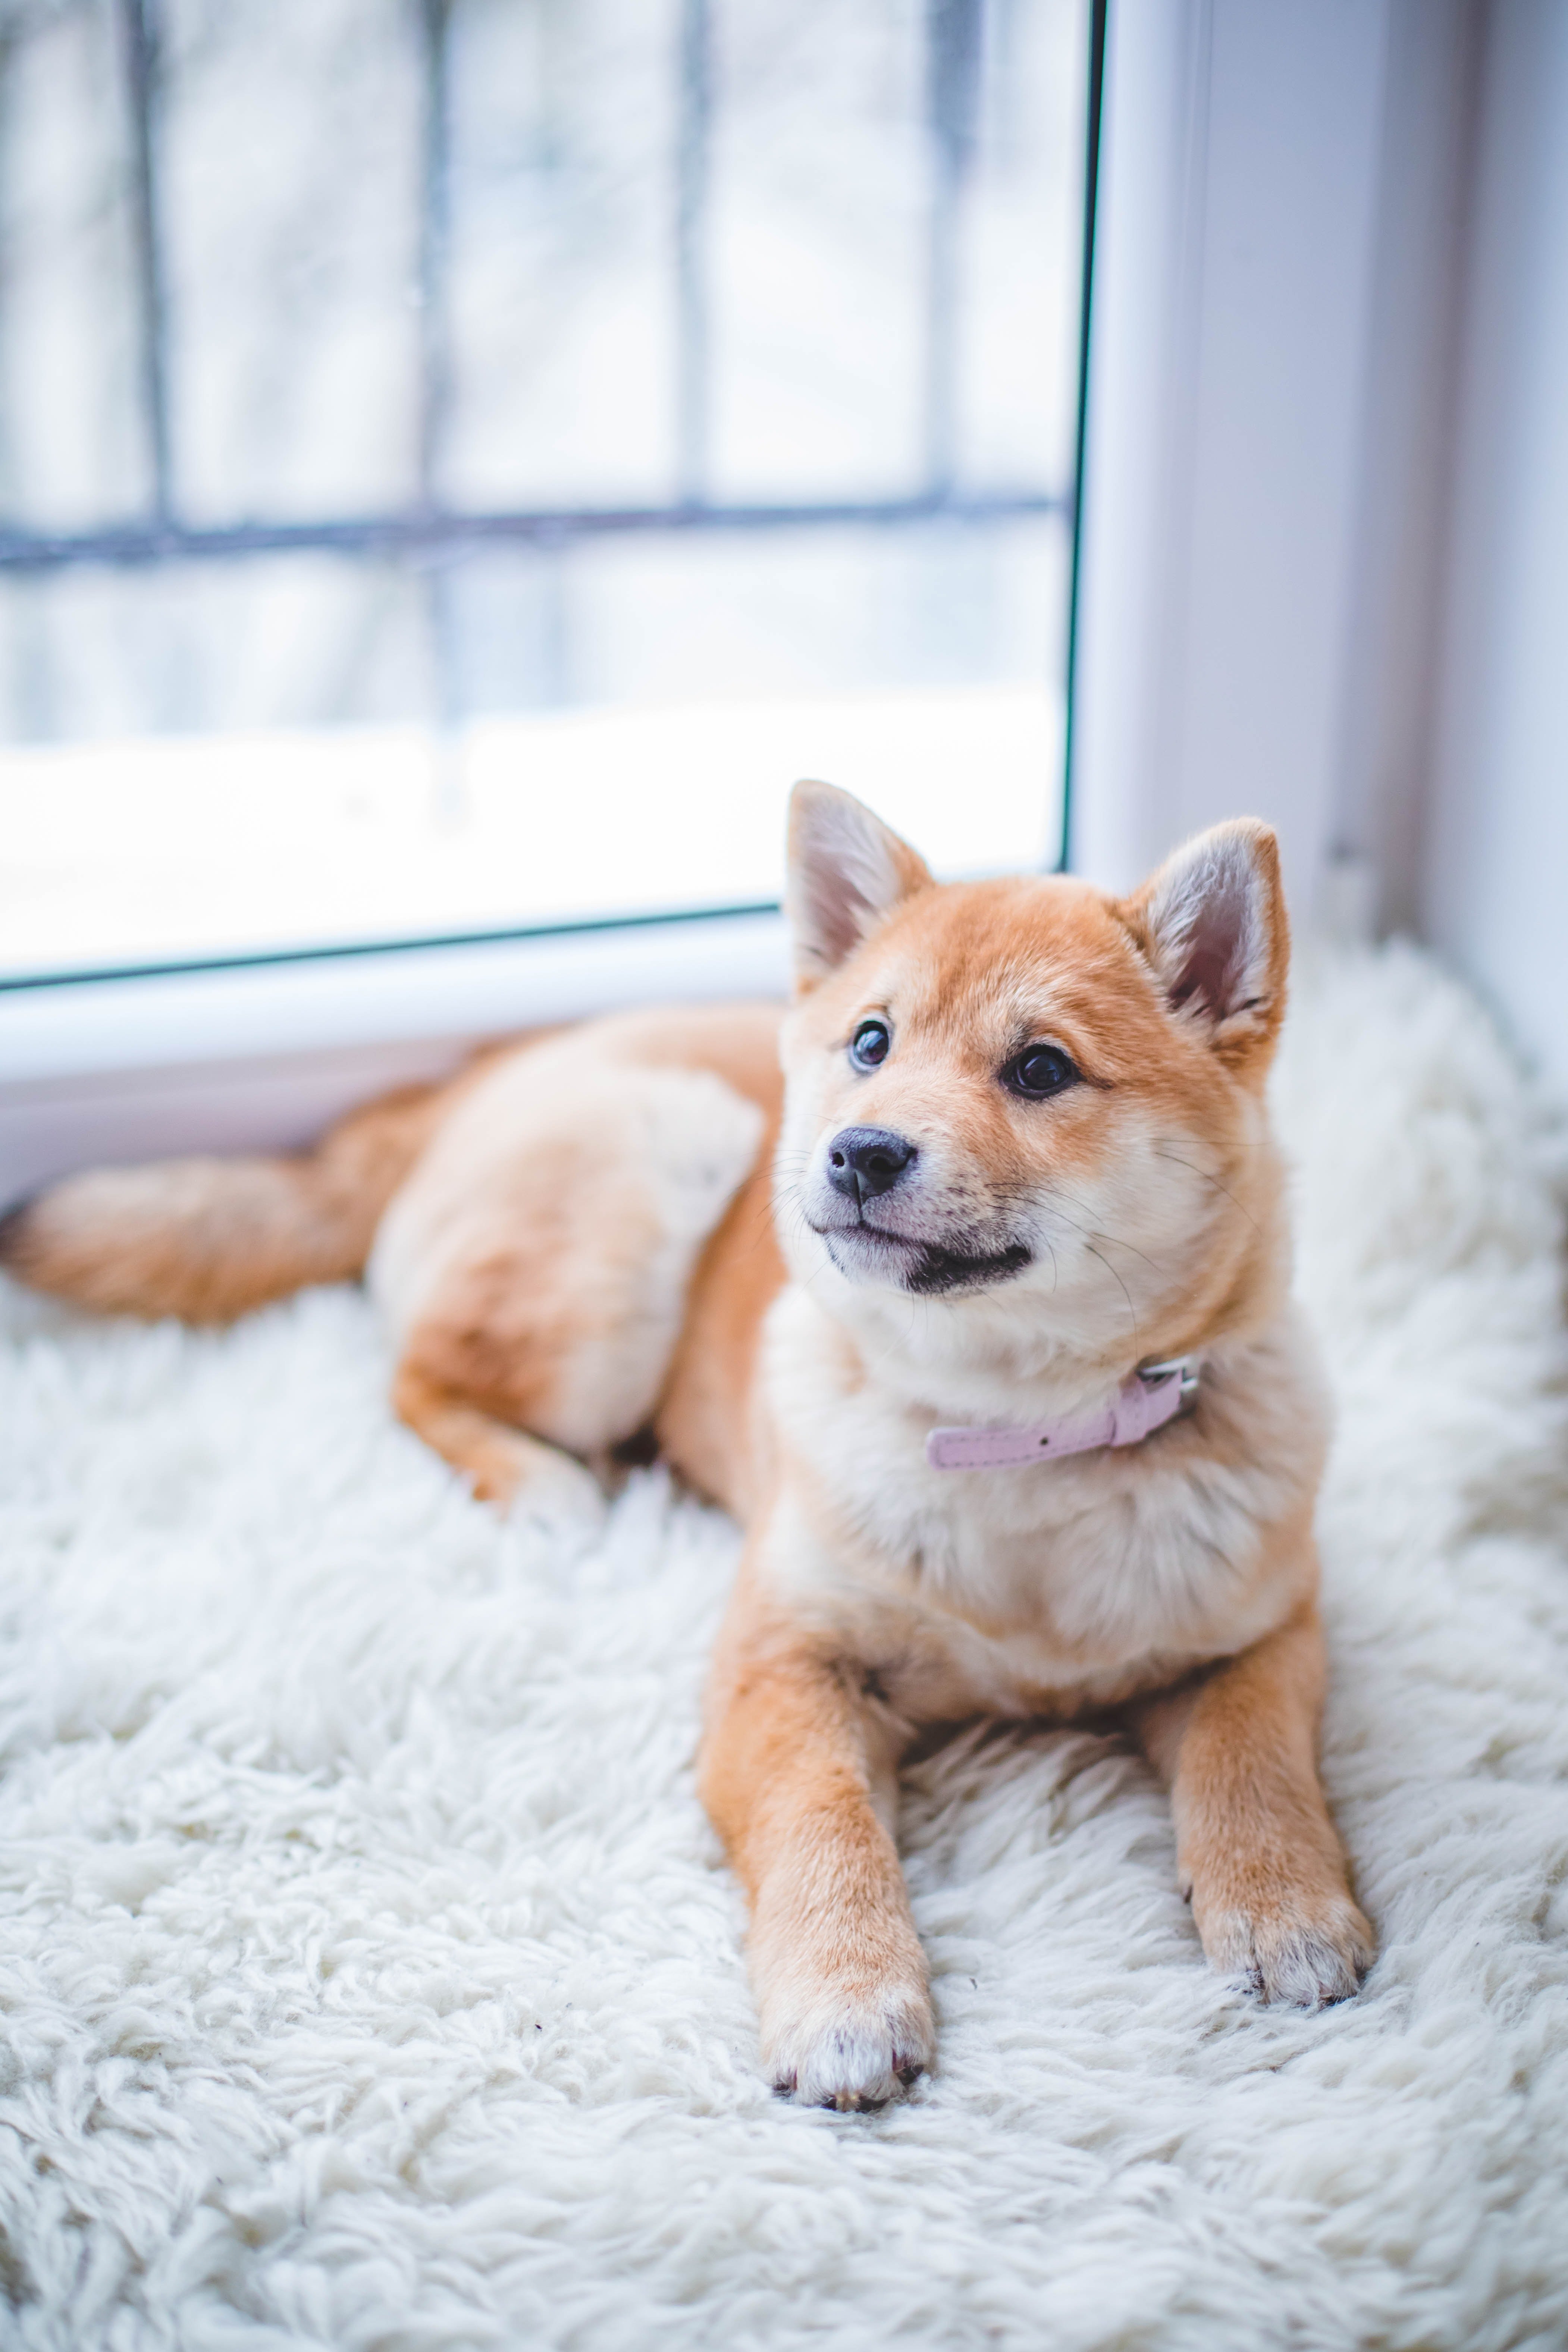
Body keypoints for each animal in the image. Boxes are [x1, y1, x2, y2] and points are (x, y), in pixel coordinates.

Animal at [0, 790, 1373, 2117]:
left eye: (1041, 1068)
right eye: (870, 1044)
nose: (858, 1152)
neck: (1009, 1433)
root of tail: (486, 1068)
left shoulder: (1265, 1625)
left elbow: (1253, 1758)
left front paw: (1283, 1904)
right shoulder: (782, 1663)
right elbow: (824, 1825)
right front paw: (844, 1996)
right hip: (635, 1210)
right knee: (417, 1376)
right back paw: (547, 1486)